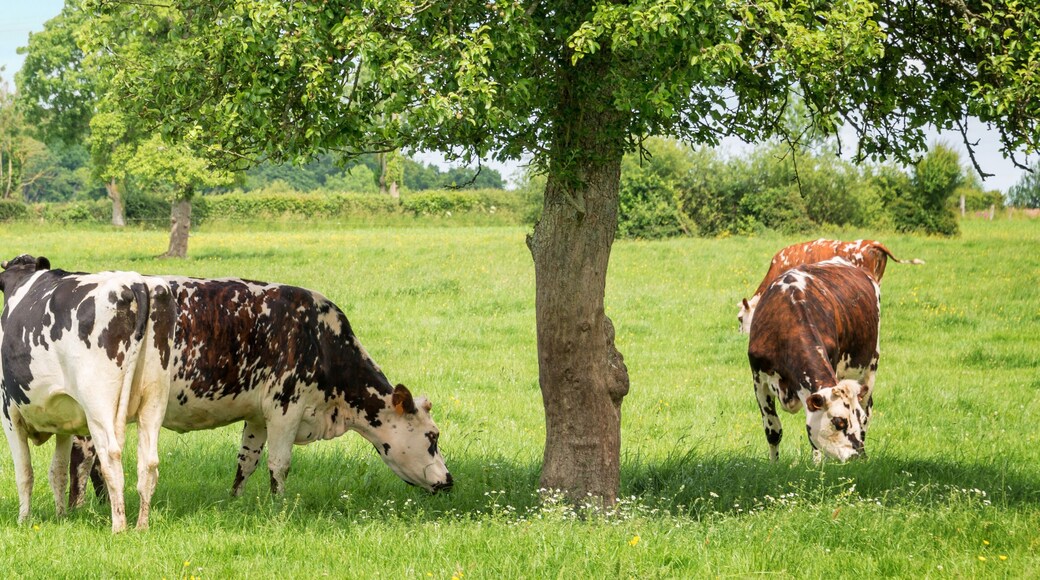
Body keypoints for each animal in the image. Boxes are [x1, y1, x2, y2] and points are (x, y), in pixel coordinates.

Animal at [0, 255, 175, 532]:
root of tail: (135, 281)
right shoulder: (62, 422)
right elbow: (58, 471)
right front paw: (61, 516)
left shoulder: (9, 414)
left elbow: (25, 473)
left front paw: (23, 520)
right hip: (154, 399)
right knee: (149, 462)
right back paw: (141, 526)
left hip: (99, 405)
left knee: (111, 457)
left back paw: (119, 528)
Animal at [66, 272, 452, 506]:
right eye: (432, 436)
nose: (449, 480)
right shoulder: (286, 407)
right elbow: (279, 464)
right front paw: (279, 506)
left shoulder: (257, 417)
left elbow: (246, 461)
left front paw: (234, 501)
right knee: (83, 458)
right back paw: (81, 507)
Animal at [747, 257, 881, 462]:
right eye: (839, 421)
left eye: (858, 420)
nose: (857, 456)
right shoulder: (758, 379)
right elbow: (773, 431)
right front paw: (774, 464)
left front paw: (816, 466)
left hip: (871, 366)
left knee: (868, 407)